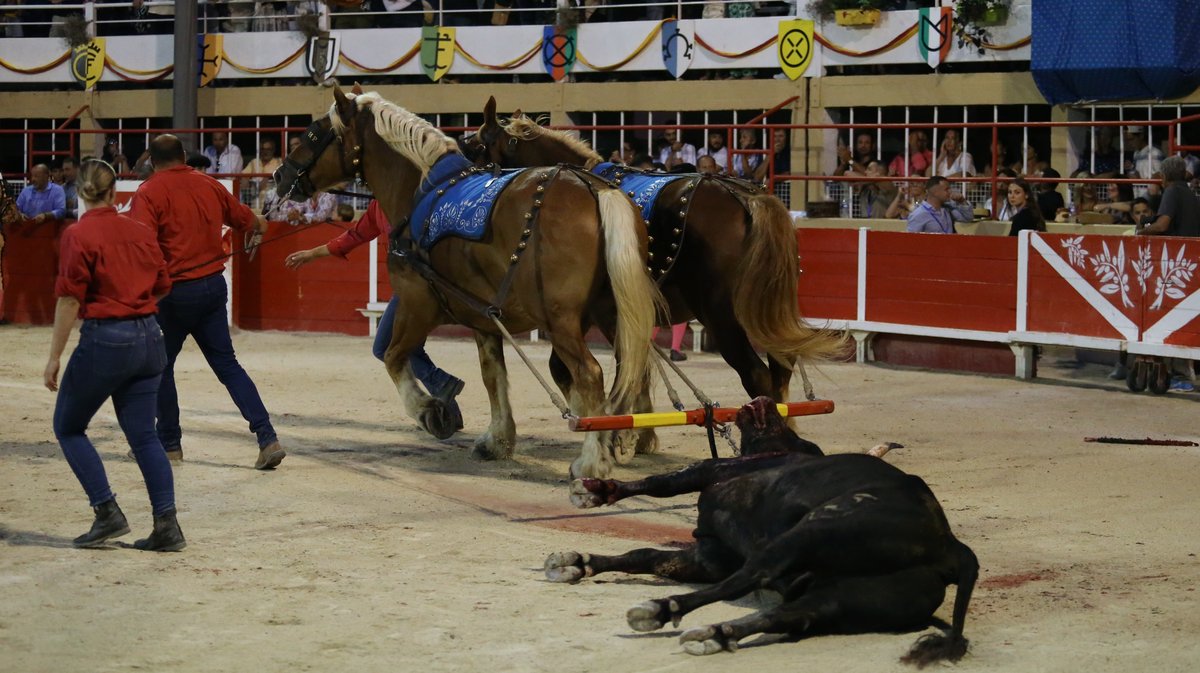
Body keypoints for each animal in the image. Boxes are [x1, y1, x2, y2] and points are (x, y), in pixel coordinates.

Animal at [274, 86, 662, 477]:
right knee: (631, 366)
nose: (279, 175)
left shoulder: (416, 303)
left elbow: (393, 357)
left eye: (313, 134)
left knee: (590, 374)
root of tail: (596, 189)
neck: (422, 189)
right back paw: (622, 435)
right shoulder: (484, 319)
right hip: (611, 313)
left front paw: (429, 411)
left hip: (561, 322)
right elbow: (493, 374)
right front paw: (498, 439)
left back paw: (592, 459)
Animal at [458, 97, 844, 410]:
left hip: (723, 316)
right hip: (765, 310)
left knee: (756, 375)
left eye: (475, 146)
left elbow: (584, 368)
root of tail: (750, 198)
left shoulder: (589, 312)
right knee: (781, 368)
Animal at [549, 395, 979, 662]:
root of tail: (952, 547)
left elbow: (662, 483)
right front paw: (577, 561)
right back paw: (715, 634)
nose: (766, 399)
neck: (781, 449)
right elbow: (647, 555)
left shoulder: (716, 472)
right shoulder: (709, 556)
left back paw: (661, 609)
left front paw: (596, 491)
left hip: (812, 531)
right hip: (848, 598)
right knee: (792, 615)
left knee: (752, 575)